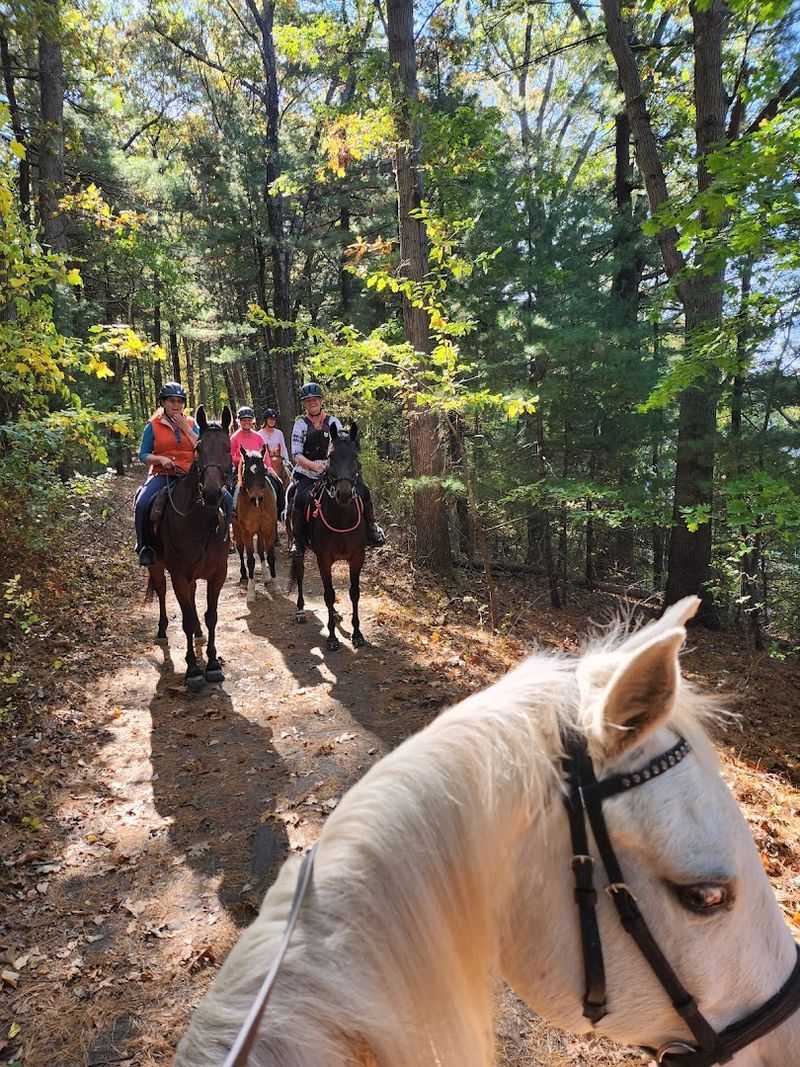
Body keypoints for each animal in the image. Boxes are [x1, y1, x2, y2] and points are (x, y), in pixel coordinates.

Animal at [145, 406, 232, 692]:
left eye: (228, 447)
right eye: (198, 449)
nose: (213, 493)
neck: (199, 521)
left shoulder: (217, 575)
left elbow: (210, 615)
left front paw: (213, 664)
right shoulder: (179, 575)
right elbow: (186, 618)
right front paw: (193, 670)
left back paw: (199, 634)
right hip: (157, 567)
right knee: (161, 593)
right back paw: (162, 631)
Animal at [233, 446, 278, 603]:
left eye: (263, 471)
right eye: (246, 472)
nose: (256, 498)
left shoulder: (269, 528)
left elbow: (270, 555)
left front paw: (274, 584)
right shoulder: (246, 532)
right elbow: (251, 560)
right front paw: (251, 593)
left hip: (260, 531)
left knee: (260, 550)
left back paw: (266, 576)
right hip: (237, 530)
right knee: (241, 551)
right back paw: (243, 576)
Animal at [288, 423, 366, 652]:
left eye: (355, 456)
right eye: (330, 456)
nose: (344, 493)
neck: (342, 518)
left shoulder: (357, 557)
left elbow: (354, 592)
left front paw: (357, 634)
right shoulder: (323, 559)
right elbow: (328, 594)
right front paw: (331, 637)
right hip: (298, 547)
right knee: (300, 575)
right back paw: (300, 610)